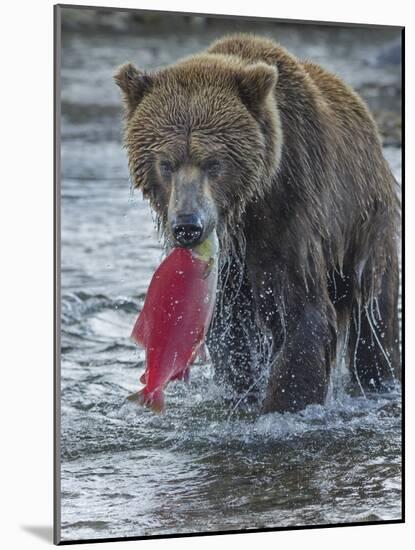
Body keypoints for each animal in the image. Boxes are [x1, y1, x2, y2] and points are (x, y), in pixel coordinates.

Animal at [114, 34, 400, 414]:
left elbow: (303, 313)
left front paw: (283, 403)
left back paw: (378, 379)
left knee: (374, 319)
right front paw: (243, 391)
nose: (188, 225)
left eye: (214, 163)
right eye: (166, 164)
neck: (246, 208)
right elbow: (228, 327)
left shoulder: (291, 211)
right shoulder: (230, 262)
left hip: (366, 224)